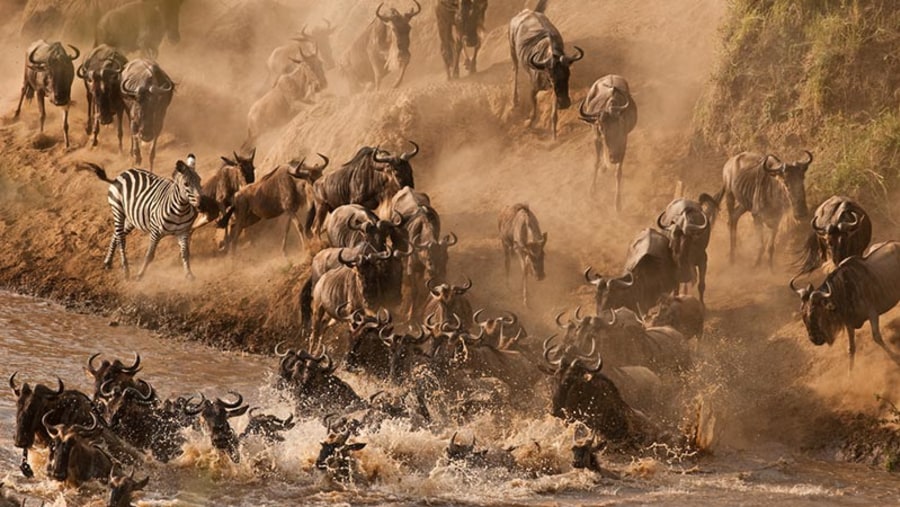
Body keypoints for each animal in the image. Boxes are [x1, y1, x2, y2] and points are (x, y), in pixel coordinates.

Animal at [76, 156, 204, 282]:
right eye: (186, 184)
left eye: (200, 180)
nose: (202, 205)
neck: (180, 210)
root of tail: (121, 175)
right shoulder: (155, 232)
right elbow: (149, 255)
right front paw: (140, 275)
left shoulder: (183, 232)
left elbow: (185, 253)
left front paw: (189, 274)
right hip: (118, 210)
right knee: (121, 239)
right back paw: (126, 271)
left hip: (131, 219)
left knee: (115, 235)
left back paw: (108, 262)